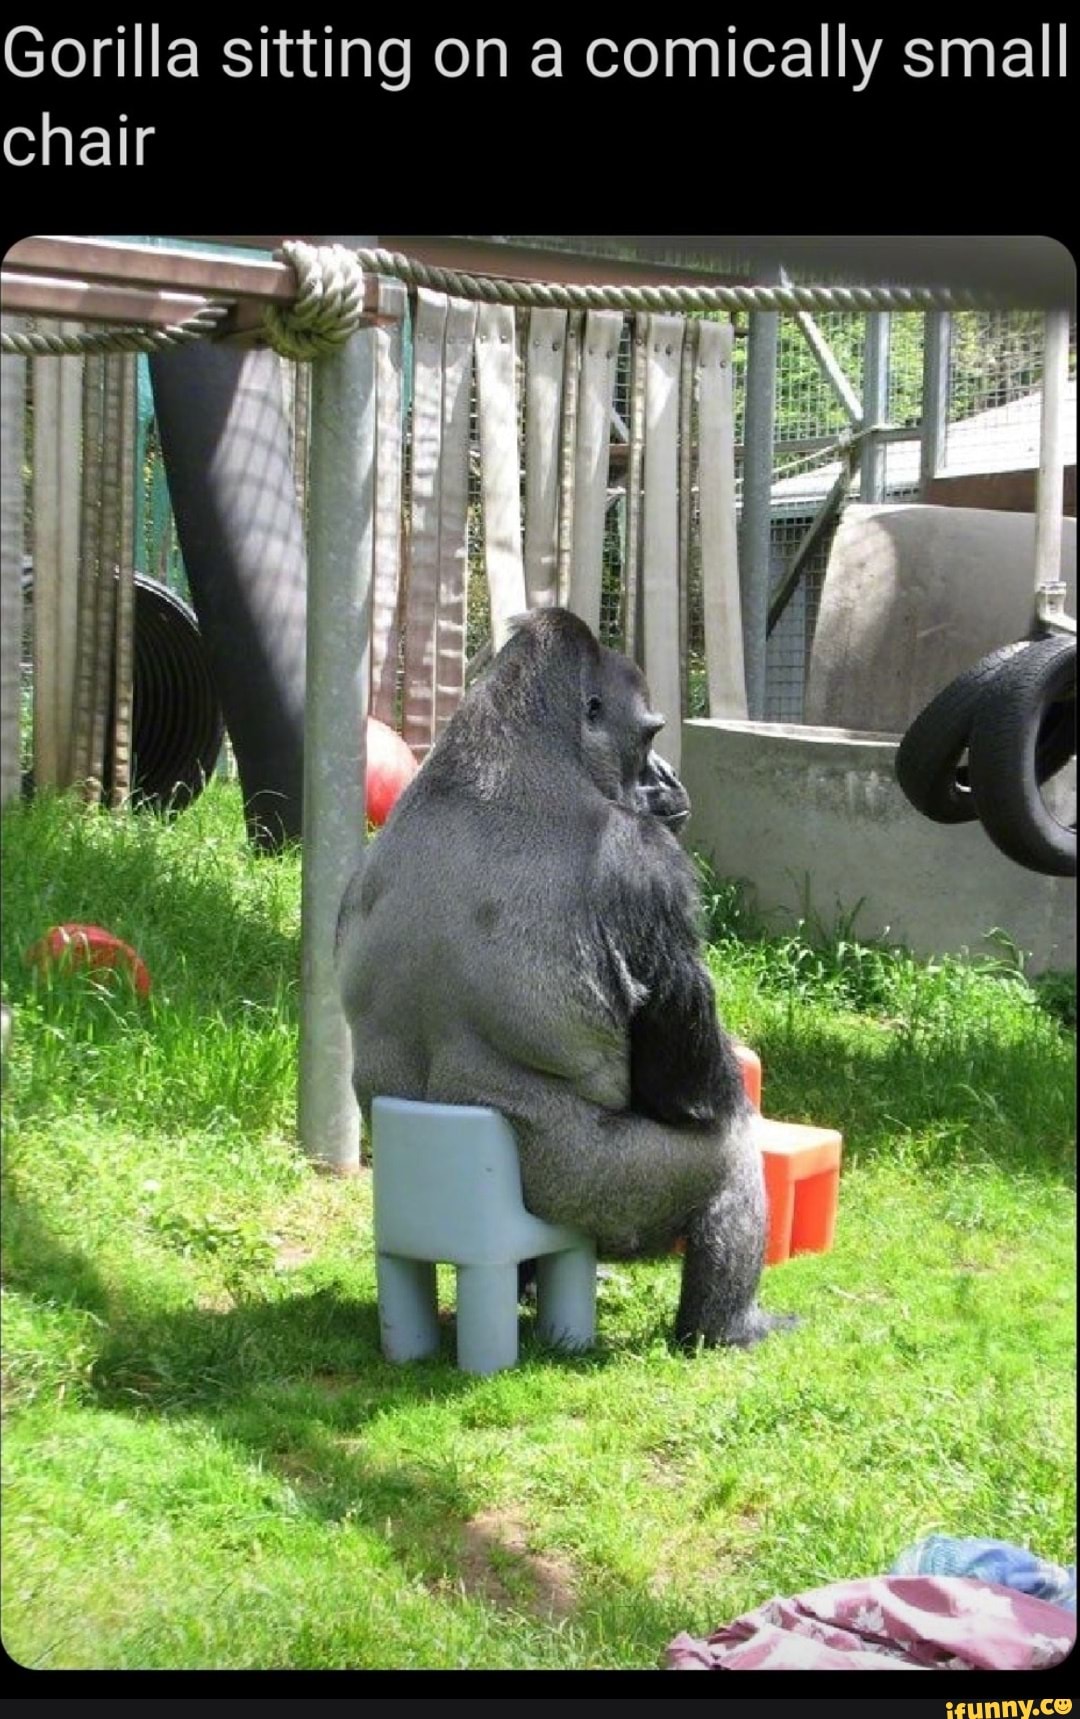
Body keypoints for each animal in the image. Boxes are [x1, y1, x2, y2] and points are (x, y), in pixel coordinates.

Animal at [336, 608, 795, 1349]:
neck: (503, 755)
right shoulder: (646, 862)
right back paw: (727, 1326)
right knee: (728, 1163)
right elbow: (694, 1088)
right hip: (591, 1192)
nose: (666, 776)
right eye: (650, 734)